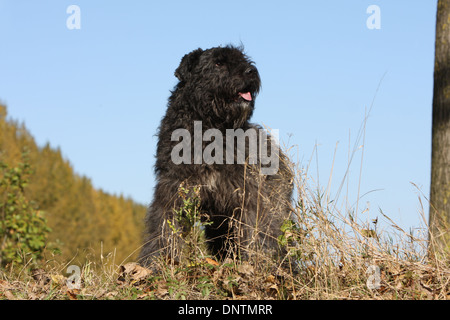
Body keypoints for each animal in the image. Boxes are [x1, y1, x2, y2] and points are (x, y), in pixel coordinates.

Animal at [139, 44, 294, 264]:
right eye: (218, 63)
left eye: (243, 59)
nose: (251, 71)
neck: (210, 127)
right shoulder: (173, 188)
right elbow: (164, 228)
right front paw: (157, 263)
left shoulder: (248, 194)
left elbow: (255, 230)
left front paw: (256, 260)